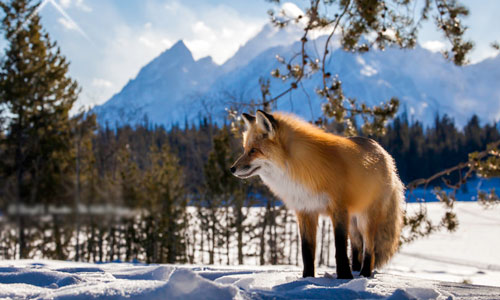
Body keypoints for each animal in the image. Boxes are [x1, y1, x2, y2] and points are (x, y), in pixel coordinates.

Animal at [232, 109, 404, 278]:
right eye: (245, 149)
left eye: (253, 151)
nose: (231, 169)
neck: (300, 170)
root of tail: (385, 154)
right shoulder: (305, 210)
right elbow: (307, 251)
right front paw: (307, 278)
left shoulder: (339, 209)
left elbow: (340, 248)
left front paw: (344, 277)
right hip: (353, 222)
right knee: (357, 246)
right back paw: (356, 271)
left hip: (365, 218)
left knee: (369, 247)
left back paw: (364, 273)